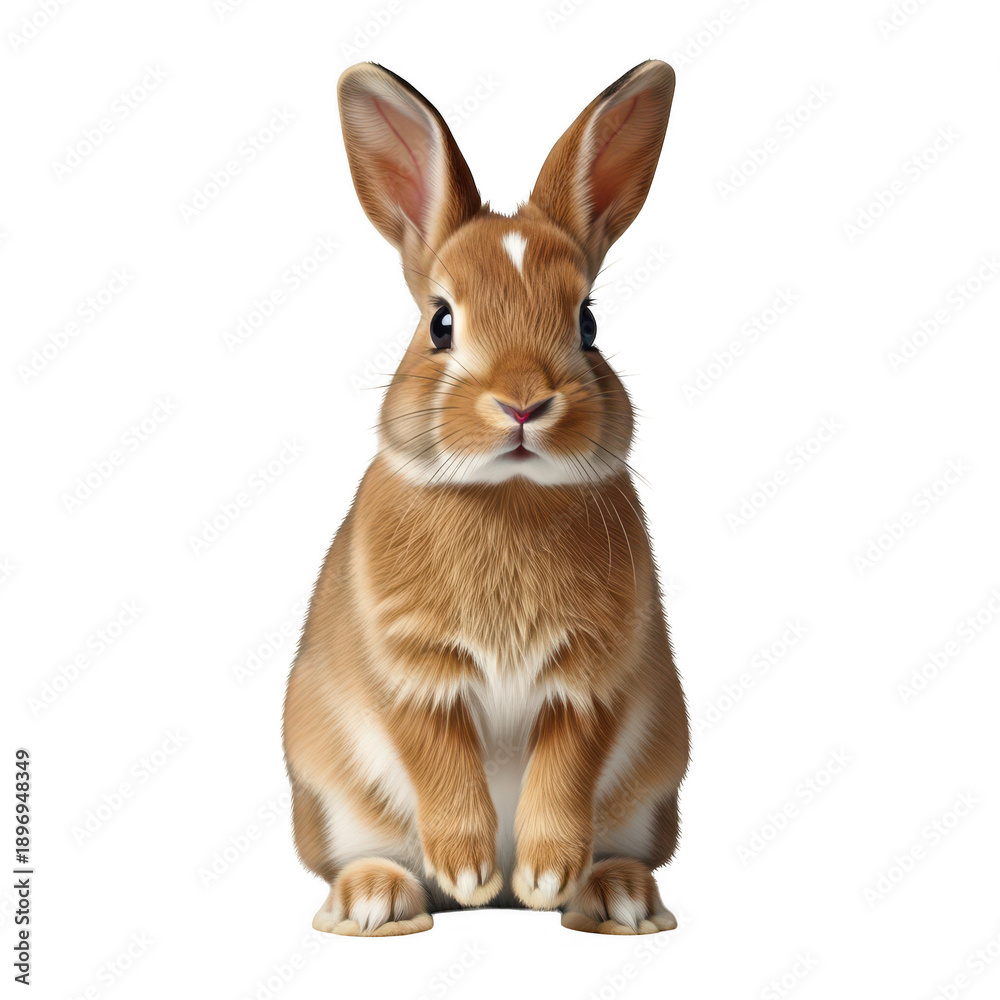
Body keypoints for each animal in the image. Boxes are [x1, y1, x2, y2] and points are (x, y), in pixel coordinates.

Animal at [283, 58, 689, 937]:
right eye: (440, 323)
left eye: (588, 323)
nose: (524, 403)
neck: (510, 494)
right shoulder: (414, 673)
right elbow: (438, 760)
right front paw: (470, 870)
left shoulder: (590, 679)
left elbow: (566, 769)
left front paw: (542, 875)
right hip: (330, 797)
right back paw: (375, 904)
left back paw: (614, 899)